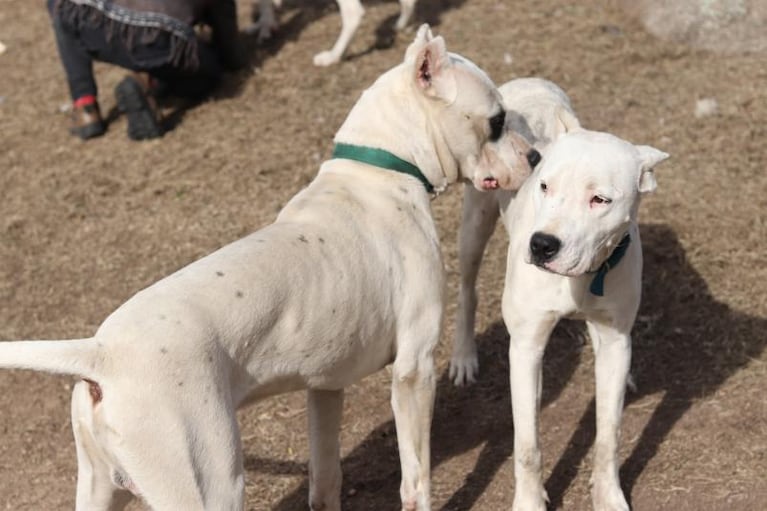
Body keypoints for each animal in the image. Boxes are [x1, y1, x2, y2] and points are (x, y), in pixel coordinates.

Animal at [0, 26, 536, 511]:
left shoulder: (325, 388)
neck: (380, 169)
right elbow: (416, 481)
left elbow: (325, 480)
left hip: (101, 489)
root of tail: (101, 354)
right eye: (496, 120)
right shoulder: (414, 370)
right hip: (210, 486)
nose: (534, 156)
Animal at [252, 0, 416, 66]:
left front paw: (265, 23)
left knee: (353, 13)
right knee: (408, 2)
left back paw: (332, 57)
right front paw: (266, 23)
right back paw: (399, 25)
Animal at [448, 78, 668, 510]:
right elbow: (527, 445)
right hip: (476, 219)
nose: (542, 245)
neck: (583, 277)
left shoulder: (614, 337)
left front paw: (608, 495)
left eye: (600, 199)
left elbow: (609, 434)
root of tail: (529, 81)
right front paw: (529, 502)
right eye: (545, 186)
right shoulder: (526, 346)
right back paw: (464, 356)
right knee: (467, 287)